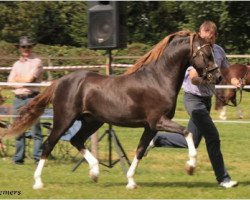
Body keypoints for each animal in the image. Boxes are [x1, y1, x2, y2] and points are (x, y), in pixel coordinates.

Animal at [1, 30, 221, 190]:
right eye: (206, 54)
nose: (217, 77)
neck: (158, 79)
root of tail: (60, 81)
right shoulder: (158, 120)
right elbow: (187, 132)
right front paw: (190, 167)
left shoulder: (150, 126)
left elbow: (140, 150)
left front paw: (131, 182)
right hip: (64, 120)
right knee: (48, 144)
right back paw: (38, 182)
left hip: (92, 121)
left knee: (76, 140)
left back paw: (95, 173)